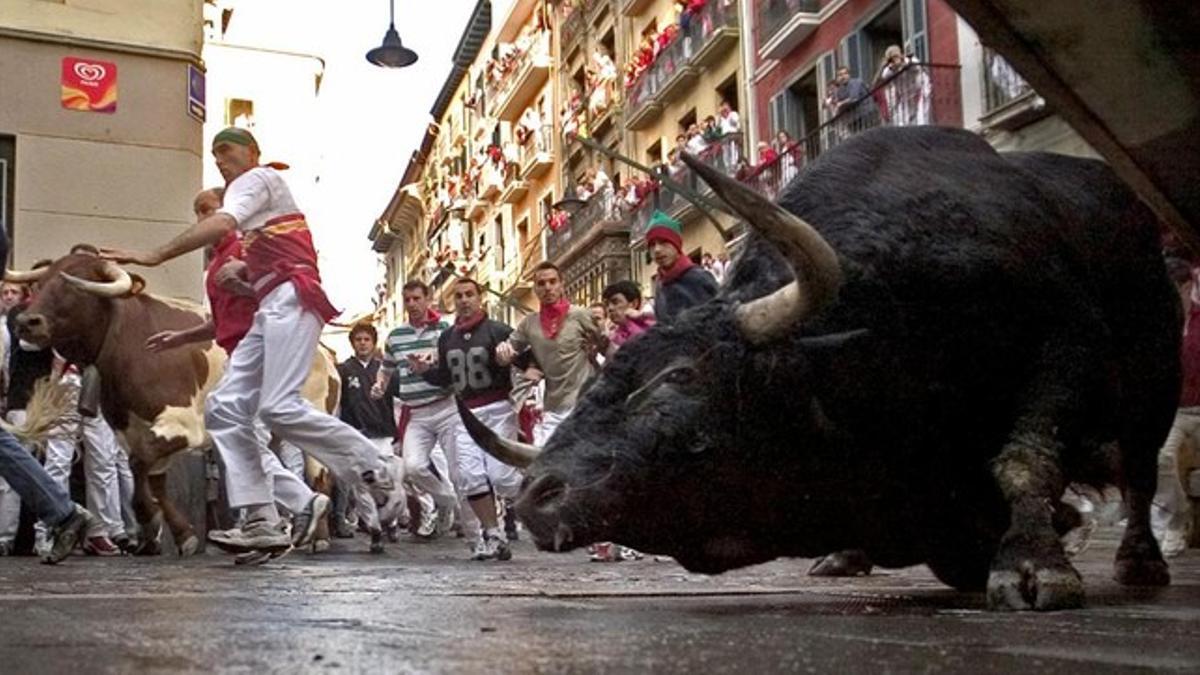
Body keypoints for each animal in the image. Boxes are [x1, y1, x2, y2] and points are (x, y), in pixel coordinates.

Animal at [9, 252, 340, 552]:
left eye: (78, 286)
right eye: (40, 283)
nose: (26, 322)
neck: (126, 341)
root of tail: (325, 352)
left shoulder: (181, 424)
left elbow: (139, 466)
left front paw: (149, 520)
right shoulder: (132, 431)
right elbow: (153, 480)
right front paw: (180, 534)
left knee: (320, 475)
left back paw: (319, 535)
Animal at [460, 126, 1180, 610]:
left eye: (676, 375)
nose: (535, 496)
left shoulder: (1065, 342)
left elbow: (1026, 459)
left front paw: (1035, 566)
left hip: (1155, 380)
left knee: (1142, 470)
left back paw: (1140, 559)